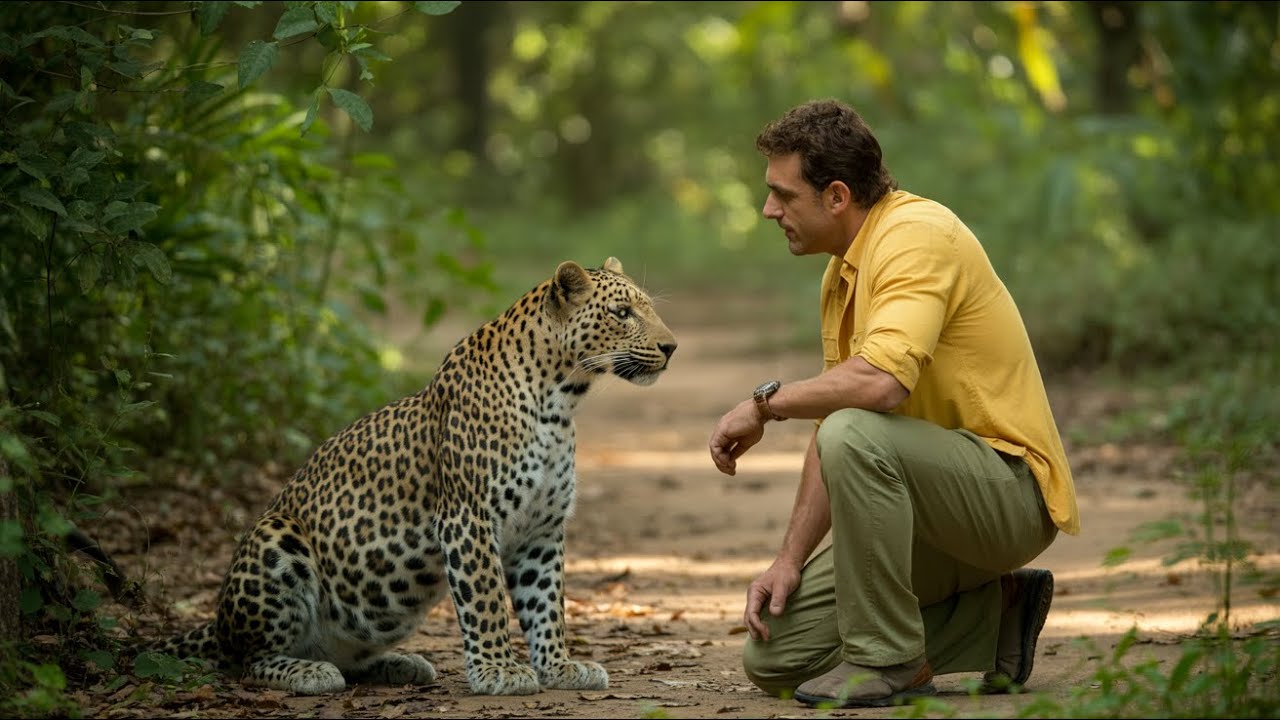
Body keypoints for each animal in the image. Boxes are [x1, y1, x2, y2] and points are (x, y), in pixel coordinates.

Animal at [152, 257, 677, 696]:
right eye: (623, 312)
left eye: (647, 308)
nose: (671, 347)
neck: (561, 398)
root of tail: (217, 620)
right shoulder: (468, 518)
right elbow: (486, 599)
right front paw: (499, 671)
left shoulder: (542, 529)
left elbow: (546, 603)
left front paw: (560, 667)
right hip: (276, 538)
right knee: (247, 658)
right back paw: (308, 673)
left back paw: (400, 665)